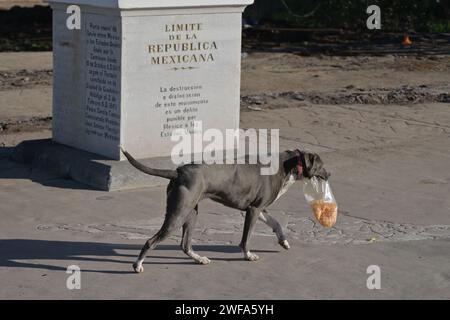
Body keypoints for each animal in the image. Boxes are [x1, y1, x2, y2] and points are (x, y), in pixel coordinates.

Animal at [121, 148, 328, 272]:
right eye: (321, 165)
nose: (330, 174)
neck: (287, 166)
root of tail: (178, 171)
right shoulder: (253, 210)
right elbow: (246, 239)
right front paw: (248, 255)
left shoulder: (259, 208)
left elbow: (276, 223)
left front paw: (283, 241)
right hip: (178, 214)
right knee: (151, 241)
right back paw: (137, 265)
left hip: (191, 213)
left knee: (185, 245)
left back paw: (199, 259)